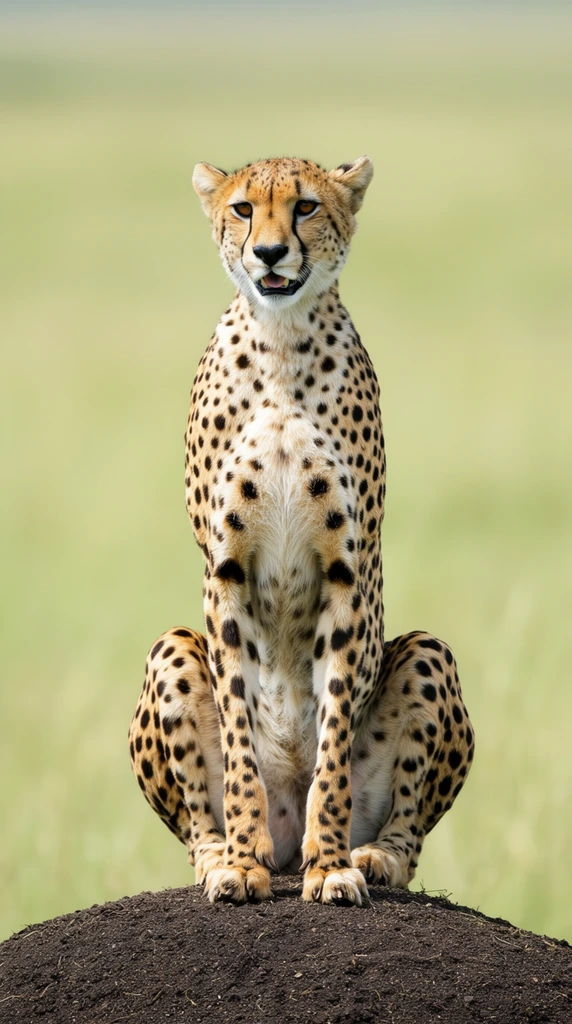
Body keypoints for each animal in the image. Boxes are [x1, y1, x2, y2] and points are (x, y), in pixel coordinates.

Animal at [128, 155, 474, 906]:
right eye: (242, 209)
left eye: (307, 207)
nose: (268, 252)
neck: (282, 344)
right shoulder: (224, 569)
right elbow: (237, 731)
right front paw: (243, 860)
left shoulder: (347, 571)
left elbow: (336, 727)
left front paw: (331, 865)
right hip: (171, 649)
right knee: (197, 821)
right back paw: (224, 854)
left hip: (427, 652)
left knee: (408, 828)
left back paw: (370, 855)